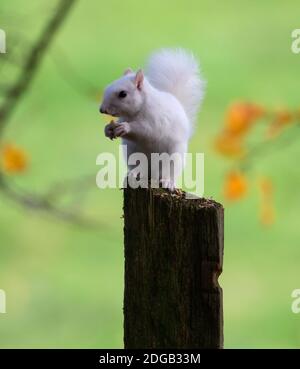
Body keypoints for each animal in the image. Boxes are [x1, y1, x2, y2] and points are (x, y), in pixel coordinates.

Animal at [99, 47, 205, 190]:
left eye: (123, 94)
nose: (102, 110)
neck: (136, 112)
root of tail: (153, 172)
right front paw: (108, 129)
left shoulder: (157, 122)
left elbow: (147, 131)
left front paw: (126, 127)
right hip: (134, 155)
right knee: (141, 168)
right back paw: (134, 174)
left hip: (173, 158)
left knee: (169, 172)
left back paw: (168, 182)